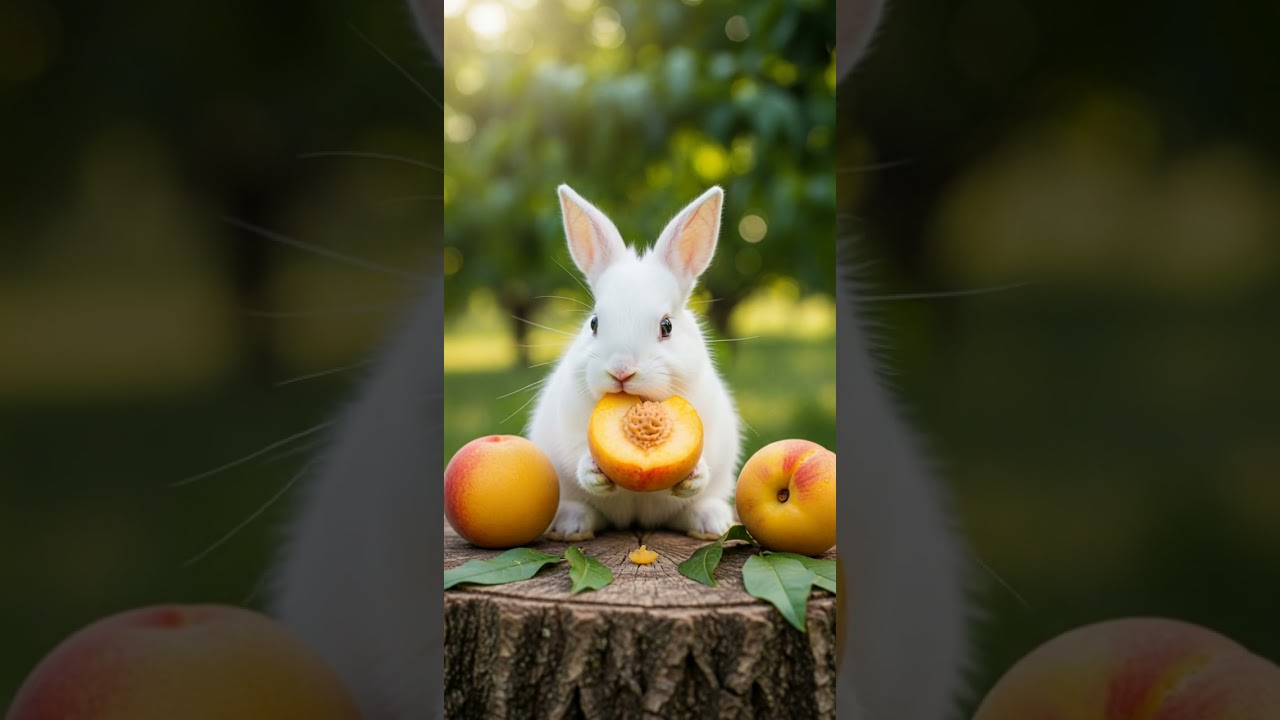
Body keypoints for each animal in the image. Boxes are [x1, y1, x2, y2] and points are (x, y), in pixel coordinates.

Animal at [529, 184, 740, 543]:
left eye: (666, 326)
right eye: (594, 323)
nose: (621, 370)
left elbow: (700, 467)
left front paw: (694, 475)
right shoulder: (570, 430)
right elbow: (578, 455)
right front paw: (593, 471)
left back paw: (711, 523)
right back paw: (572, 526)